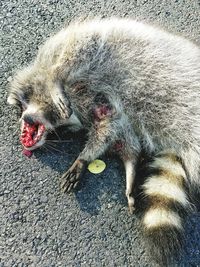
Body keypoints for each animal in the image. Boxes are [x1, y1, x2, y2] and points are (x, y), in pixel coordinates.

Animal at [7, 17, 200, 264]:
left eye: (22, 104)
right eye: (60, 132)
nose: (24, 129)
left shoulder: (78, 48)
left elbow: (72, 56)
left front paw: (55, 82)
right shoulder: (109, 115)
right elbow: (111, 135)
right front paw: (118, 165)